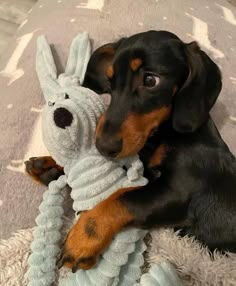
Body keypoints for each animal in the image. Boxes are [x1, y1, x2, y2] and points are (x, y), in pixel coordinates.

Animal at [25, 30, 236, 272]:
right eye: (110, 80)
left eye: (150, 81)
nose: (102, 146)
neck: (166, 133)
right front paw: (50, 166)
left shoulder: (178, 190)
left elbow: (121, 197)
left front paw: (83, 237)